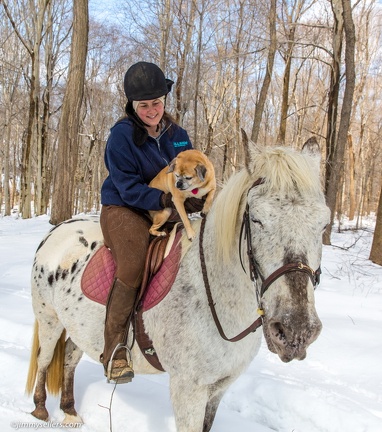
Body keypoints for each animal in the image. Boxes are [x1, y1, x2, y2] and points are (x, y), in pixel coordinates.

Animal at [25, 139, 330, 432]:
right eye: (256, 218)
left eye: (324, 224)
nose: (296, 330)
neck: (216, 298)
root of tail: (57, 230)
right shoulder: (188, 390)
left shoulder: (218, 388)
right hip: (49, 319)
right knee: (45, 359)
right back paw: (40, 408)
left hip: (78, 328)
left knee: (69, 358)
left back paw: (69, 412)